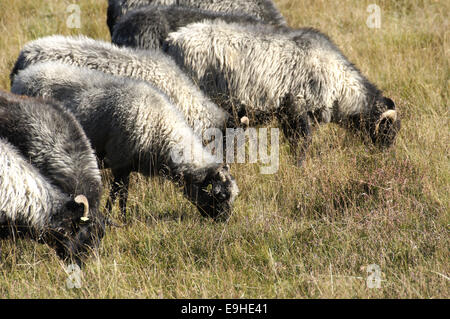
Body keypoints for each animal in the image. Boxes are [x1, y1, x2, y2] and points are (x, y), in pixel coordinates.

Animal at [11, 61, 239, 221]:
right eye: (220, 196)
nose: (225, 221)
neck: (160, 129)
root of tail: (23, 76)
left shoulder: (128, 166)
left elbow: (122, 194)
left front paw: (121, 217)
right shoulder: (120, 162)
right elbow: (118, 194)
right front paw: (117, 217)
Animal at [165, 21, 400, 162]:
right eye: (388, 130)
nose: (386, 158)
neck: (341, 89)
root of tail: (171, 40)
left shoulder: (288, 114)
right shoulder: (296, 106)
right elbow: (301, 142)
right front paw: (300, 167)